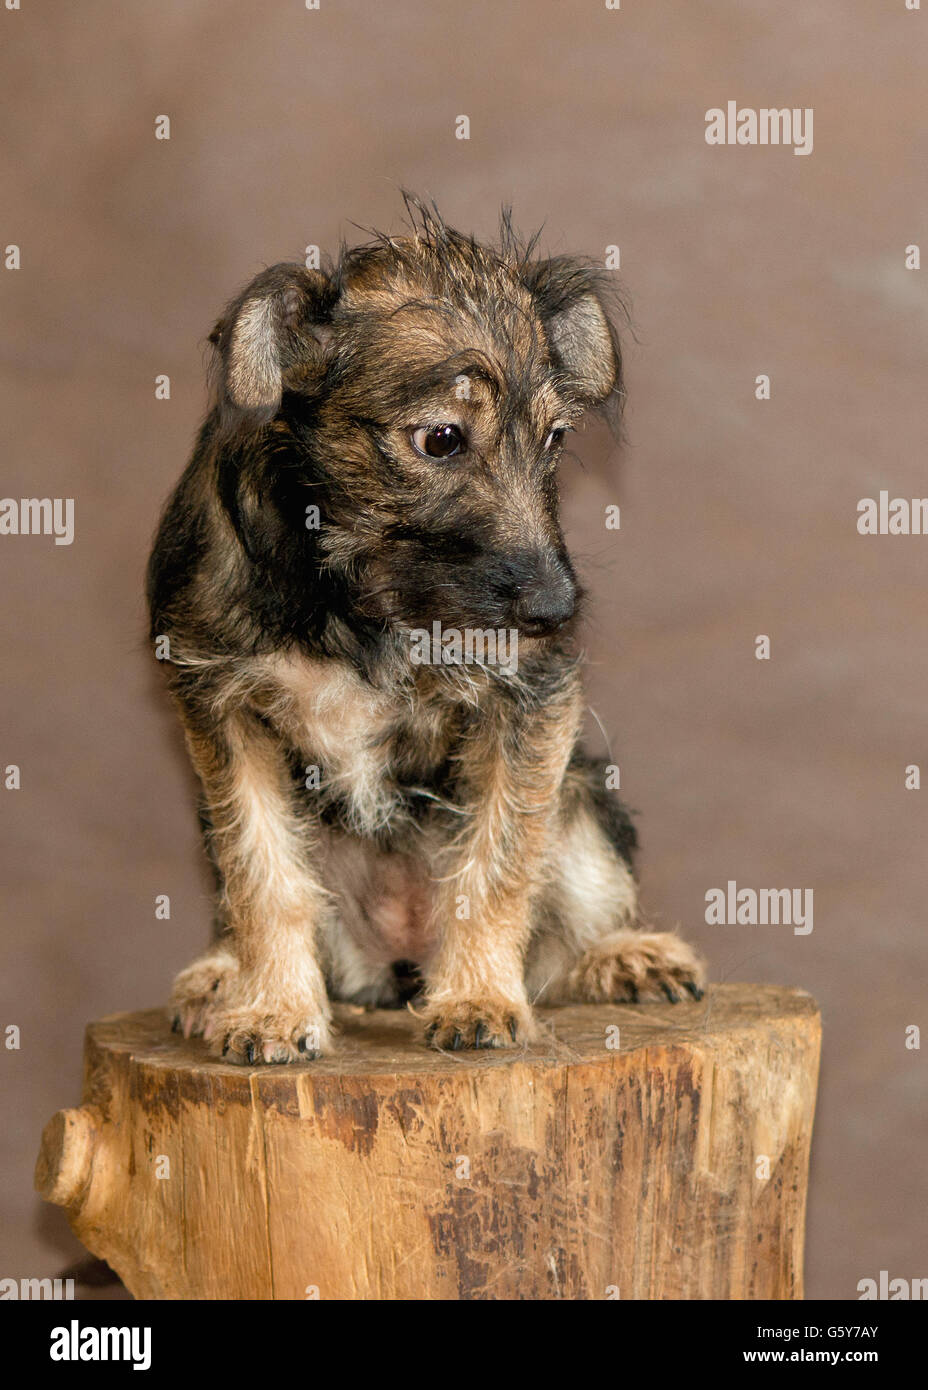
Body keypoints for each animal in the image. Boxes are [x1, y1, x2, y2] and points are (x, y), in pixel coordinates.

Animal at [148, 198, 705, 1061]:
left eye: (556, 438)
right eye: (440, 439)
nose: (558, 612)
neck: (359, 597)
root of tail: (398, 967)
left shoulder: (530, 701)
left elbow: (499, 860)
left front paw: (477, 995)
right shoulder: (220, 706)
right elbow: (262, 872)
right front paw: (274, 1008)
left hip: (585, 796)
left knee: (561, 937)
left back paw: (623, 955)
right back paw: (222, 976)